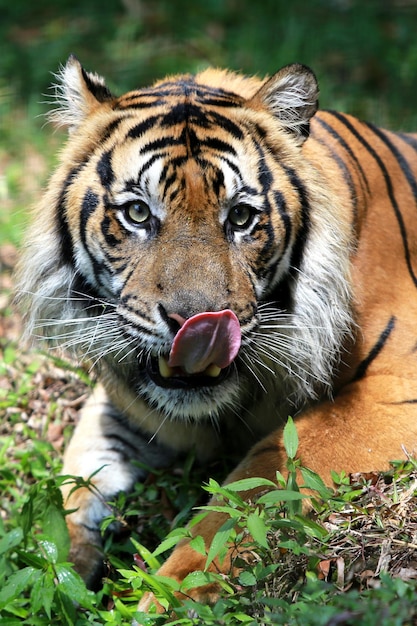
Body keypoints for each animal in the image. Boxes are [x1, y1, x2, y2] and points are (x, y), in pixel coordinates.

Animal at [16, 56, 417, 608]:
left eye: (241, 217)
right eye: (137, 212)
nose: (197, 323)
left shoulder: (390, 393)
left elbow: (256, 481)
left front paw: (172, 591)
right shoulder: (124, 407)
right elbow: (75, 485)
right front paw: (48, 573)